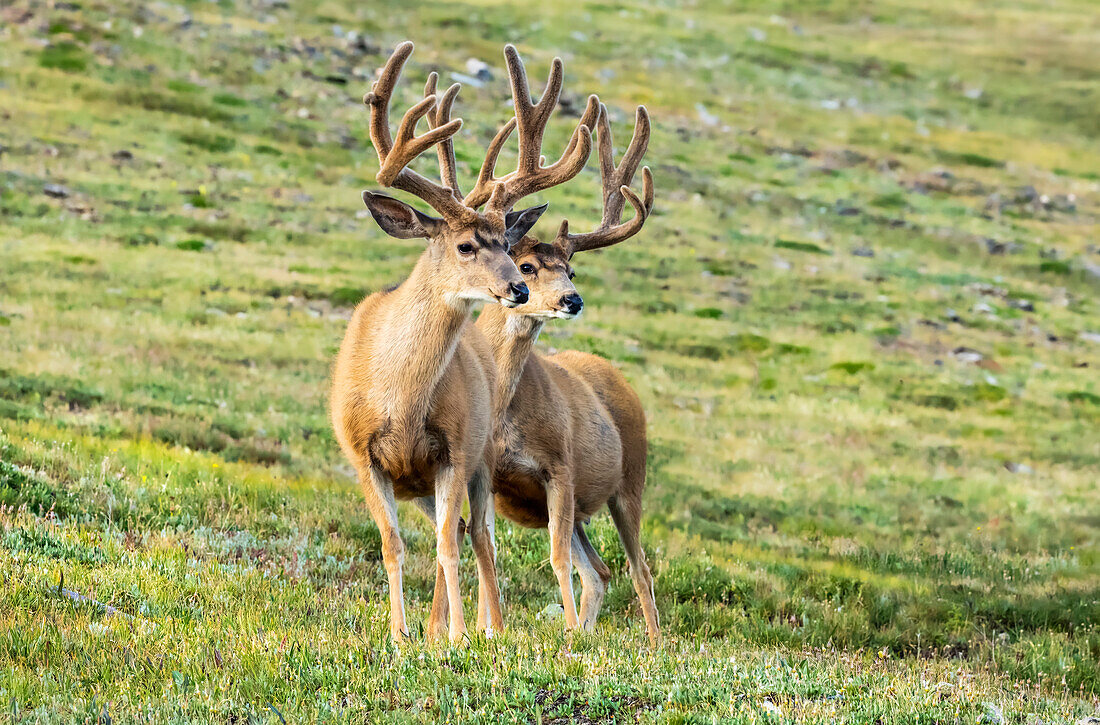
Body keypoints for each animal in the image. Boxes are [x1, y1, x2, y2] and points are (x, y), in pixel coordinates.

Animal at [330, 42, 598, 642]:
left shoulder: (454, 450)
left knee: (477, 535)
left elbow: (452, 544)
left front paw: (454, 637)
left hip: (482, 459)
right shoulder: (363, 455)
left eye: (507, 243)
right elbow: (393, 545)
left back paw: (486, 628)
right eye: (467, 245)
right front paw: (400, 635)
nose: (519, 288)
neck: (400, 398)